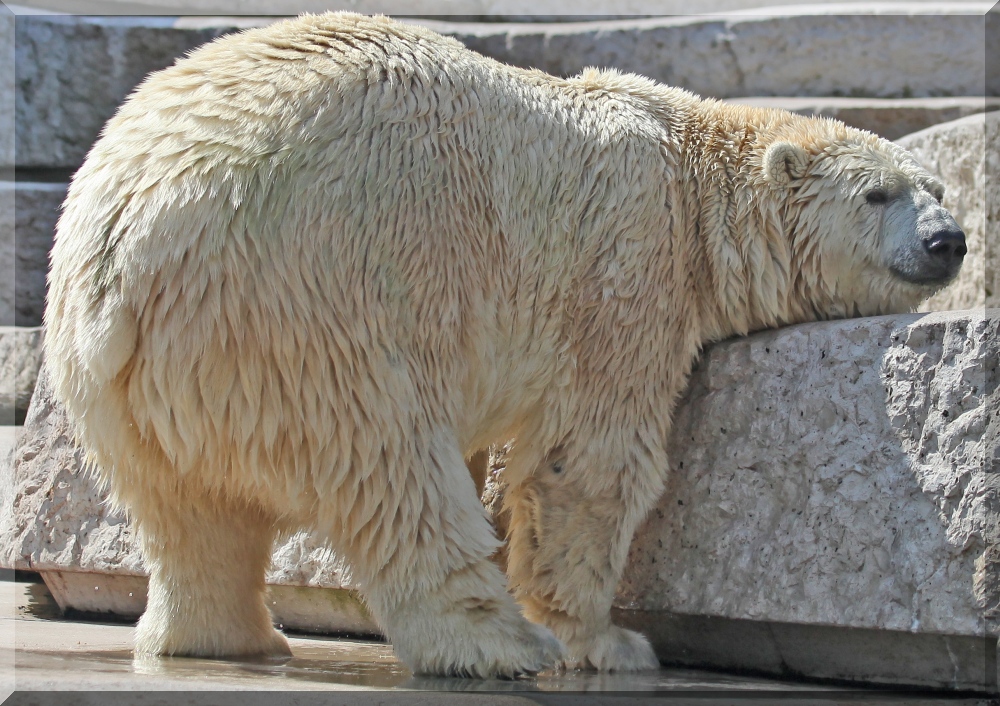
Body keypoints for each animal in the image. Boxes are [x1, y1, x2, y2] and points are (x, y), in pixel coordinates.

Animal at [45, 12, 960, 676]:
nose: (949, 240)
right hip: (312, 300)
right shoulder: (628, 264)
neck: (690, 168)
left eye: (939, 187)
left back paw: (222, 638)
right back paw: (499, 644)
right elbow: (589, 460)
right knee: (394, 468)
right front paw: (610, 642)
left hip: (137, 376)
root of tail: (127, 228)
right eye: (879, 194)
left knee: (186, 512)